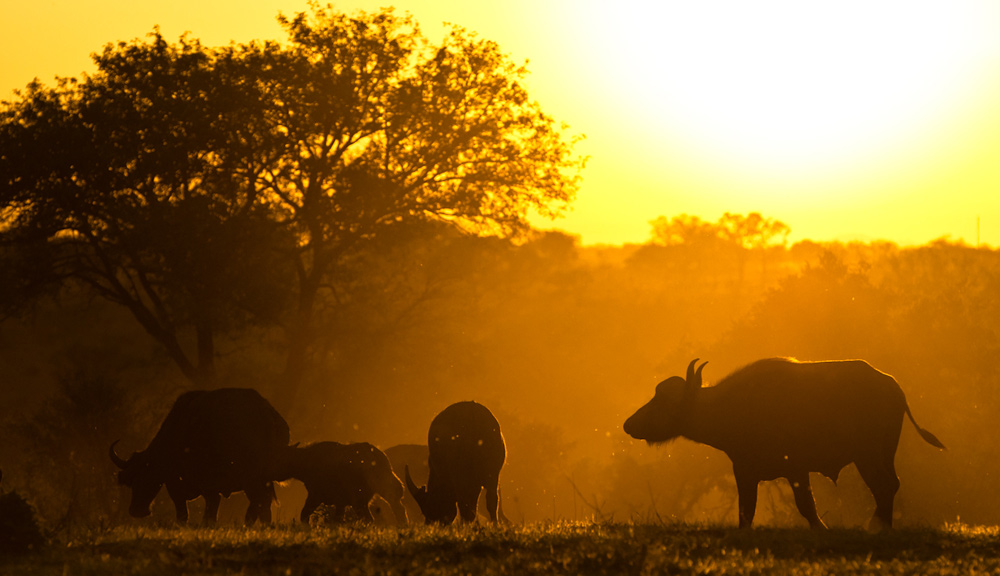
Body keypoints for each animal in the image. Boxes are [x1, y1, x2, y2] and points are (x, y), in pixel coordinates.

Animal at [110, 388, 290, 528]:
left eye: (142, 477)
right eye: (131, 481)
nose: (136, 511)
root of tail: (266, 413)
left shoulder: (186, 484)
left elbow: (190, 512)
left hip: (250, 479)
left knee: (259, 502)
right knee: (260, 504)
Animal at [274, 440, 406, 528]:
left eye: (281, 458)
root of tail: (380, 460)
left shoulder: (315, 495)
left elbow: (304, 515)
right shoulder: (340, 502)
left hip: (359, 500)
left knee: (374, 516)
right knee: (396, 505)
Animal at [624, 358, 944, 528]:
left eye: (662, 399)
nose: (628, 424)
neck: (731, 407)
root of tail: (894, 386)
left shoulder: (794, 469)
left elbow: (805, 507)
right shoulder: (747, 472)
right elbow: (747, 511)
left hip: (870, 455)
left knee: (885, 487)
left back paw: (876, 527)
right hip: (881, 455)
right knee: (889, 486)